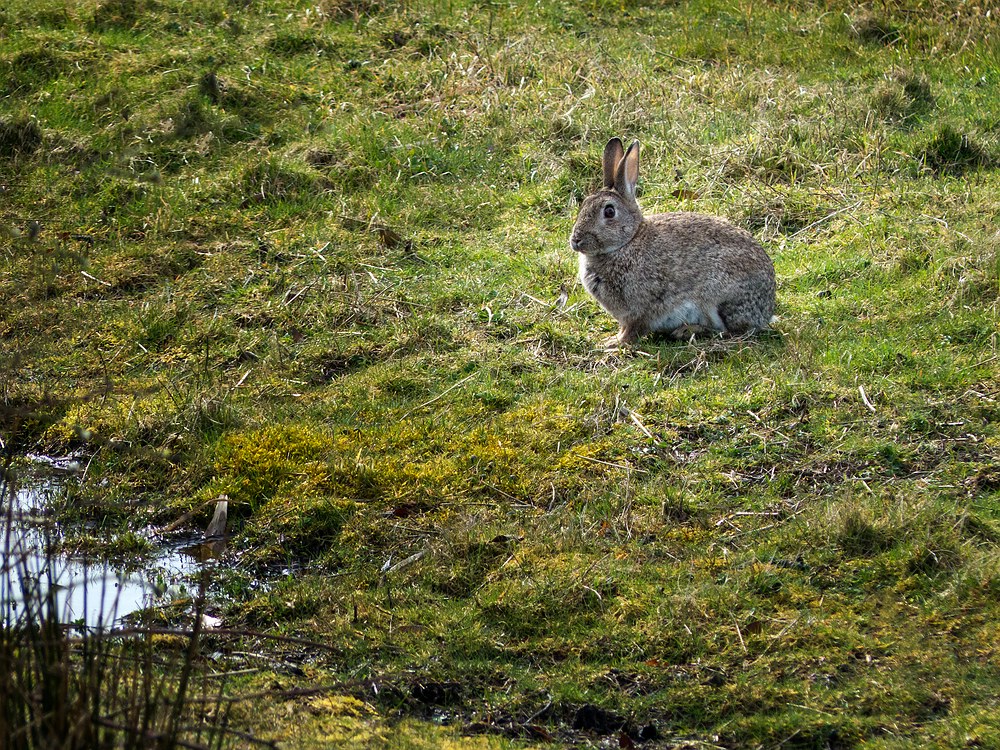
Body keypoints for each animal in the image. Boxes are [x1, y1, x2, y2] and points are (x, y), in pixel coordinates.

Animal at [572, 138, 772, 346]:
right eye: (584, 204)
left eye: (609, 212)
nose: (576, 240)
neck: (627, 242)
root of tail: (766, 310)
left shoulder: (642, 308)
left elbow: (633, 330)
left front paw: (612, 343)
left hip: (717, 298)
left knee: (731, 332)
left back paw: (687, 330)